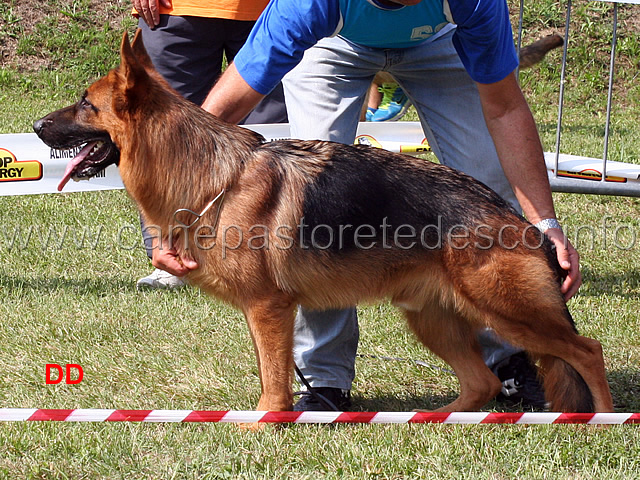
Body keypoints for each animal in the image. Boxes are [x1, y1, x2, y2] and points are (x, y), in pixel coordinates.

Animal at [32, 31, 612, 412]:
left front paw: (265, 420)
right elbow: (273, 369)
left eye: (84, 103)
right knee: (482, 384)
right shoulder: (265, 312)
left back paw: (605, 422)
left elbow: (272, 377)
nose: (36, 126)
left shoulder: (269, 308)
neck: (211, 177)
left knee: (588, 351)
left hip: (508, 313)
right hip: (433, 319)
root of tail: (517, 217)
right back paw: (434, 420)